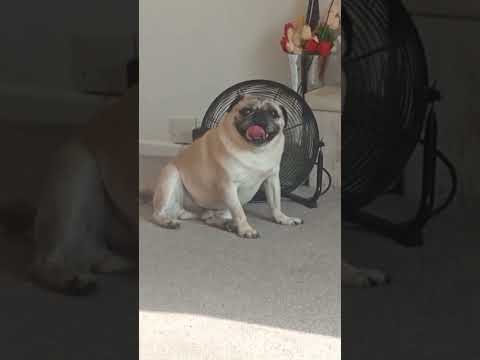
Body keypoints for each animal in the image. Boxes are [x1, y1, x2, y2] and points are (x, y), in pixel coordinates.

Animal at [154, 95, 302, 236]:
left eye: (273, 113)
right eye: (246, 111)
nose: (259, 115)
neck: (254, 151)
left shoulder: (272, 180)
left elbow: (275, 204)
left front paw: (282, 218)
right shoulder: (229, 186)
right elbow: (240, 212)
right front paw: (245, 229)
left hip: (222, 208)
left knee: (210, 218)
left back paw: (228, 224)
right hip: (171, 176)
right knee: (158, 213)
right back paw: (167, 221)